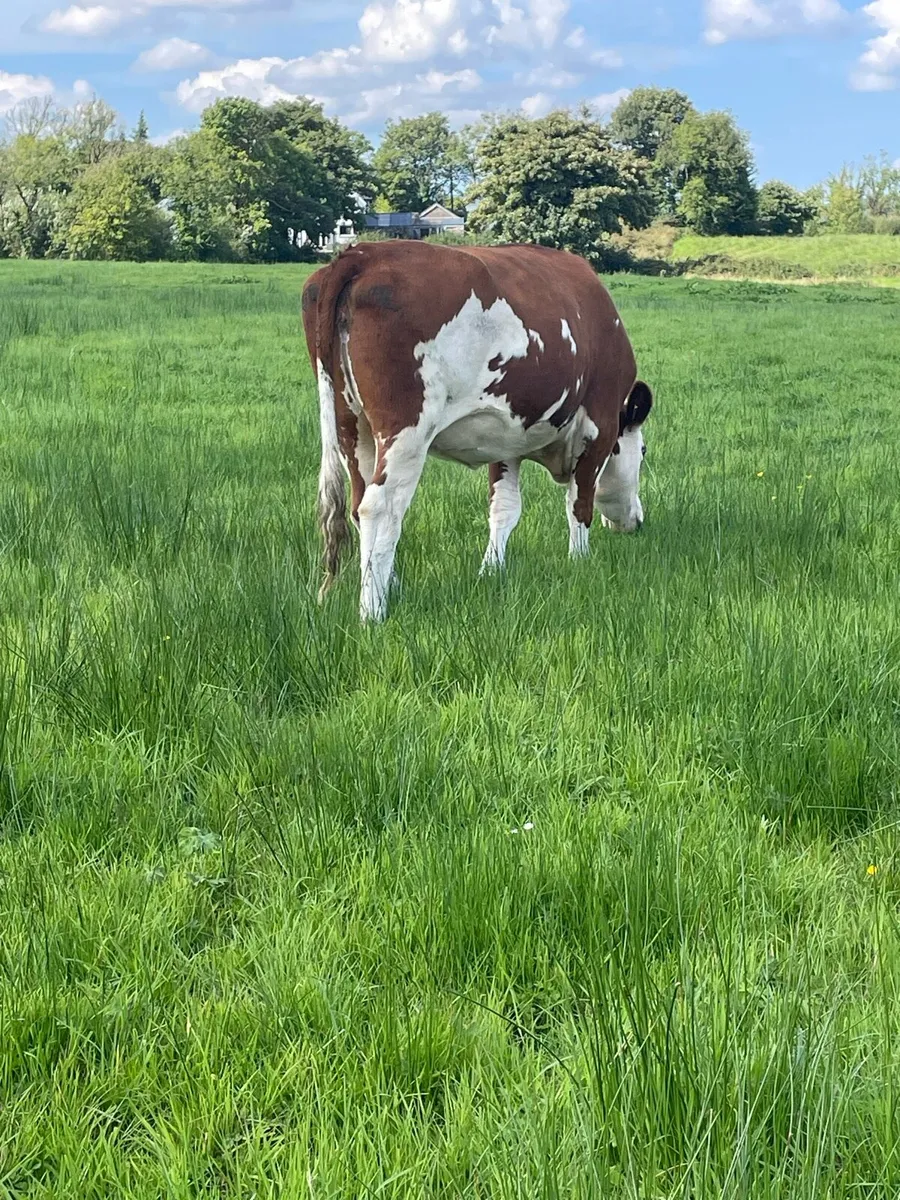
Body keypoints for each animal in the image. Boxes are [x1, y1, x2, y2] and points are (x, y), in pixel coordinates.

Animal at [301, 240, 653, 622]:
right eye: (643, 452)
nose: (637, 521)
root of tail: (362, 254)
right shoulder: (598, 427)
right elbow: (580, 502)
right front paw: (579, 561)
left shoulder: (506, 440)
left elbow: (504, 509)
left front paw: (491, 570)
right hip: (406, 429)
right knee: (380, 507)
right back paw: (372, 611)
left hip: (351, 426)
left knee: (359, 504)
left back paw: (389, 584)